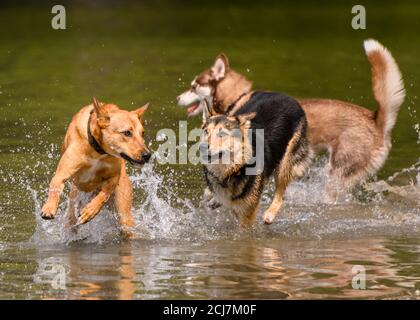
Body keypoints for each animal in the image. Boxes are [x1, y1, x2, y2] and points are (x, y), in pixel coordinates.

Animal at [40, 95, 151, 235]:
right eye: (127, 133)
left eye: (143, 133)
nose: (147, 155)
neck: (98, 152)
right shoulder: (62, 173)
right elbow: (55, 186)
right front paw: (49, 208)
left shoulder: (114, 177)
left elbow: (104, 194)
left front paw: (90, 211)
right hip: (72, 208)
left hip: (124, 213)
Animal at [198, 79, 312, 225]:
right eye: (206, 131)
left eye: (222, 134)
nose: (202, 147)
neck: (232, 170)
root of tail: (285, 96)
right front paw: (215, 199)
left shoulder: (247, 214)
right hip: (235, 108)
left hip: (285, 163)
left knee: (280, 194)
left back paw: (270, 214)